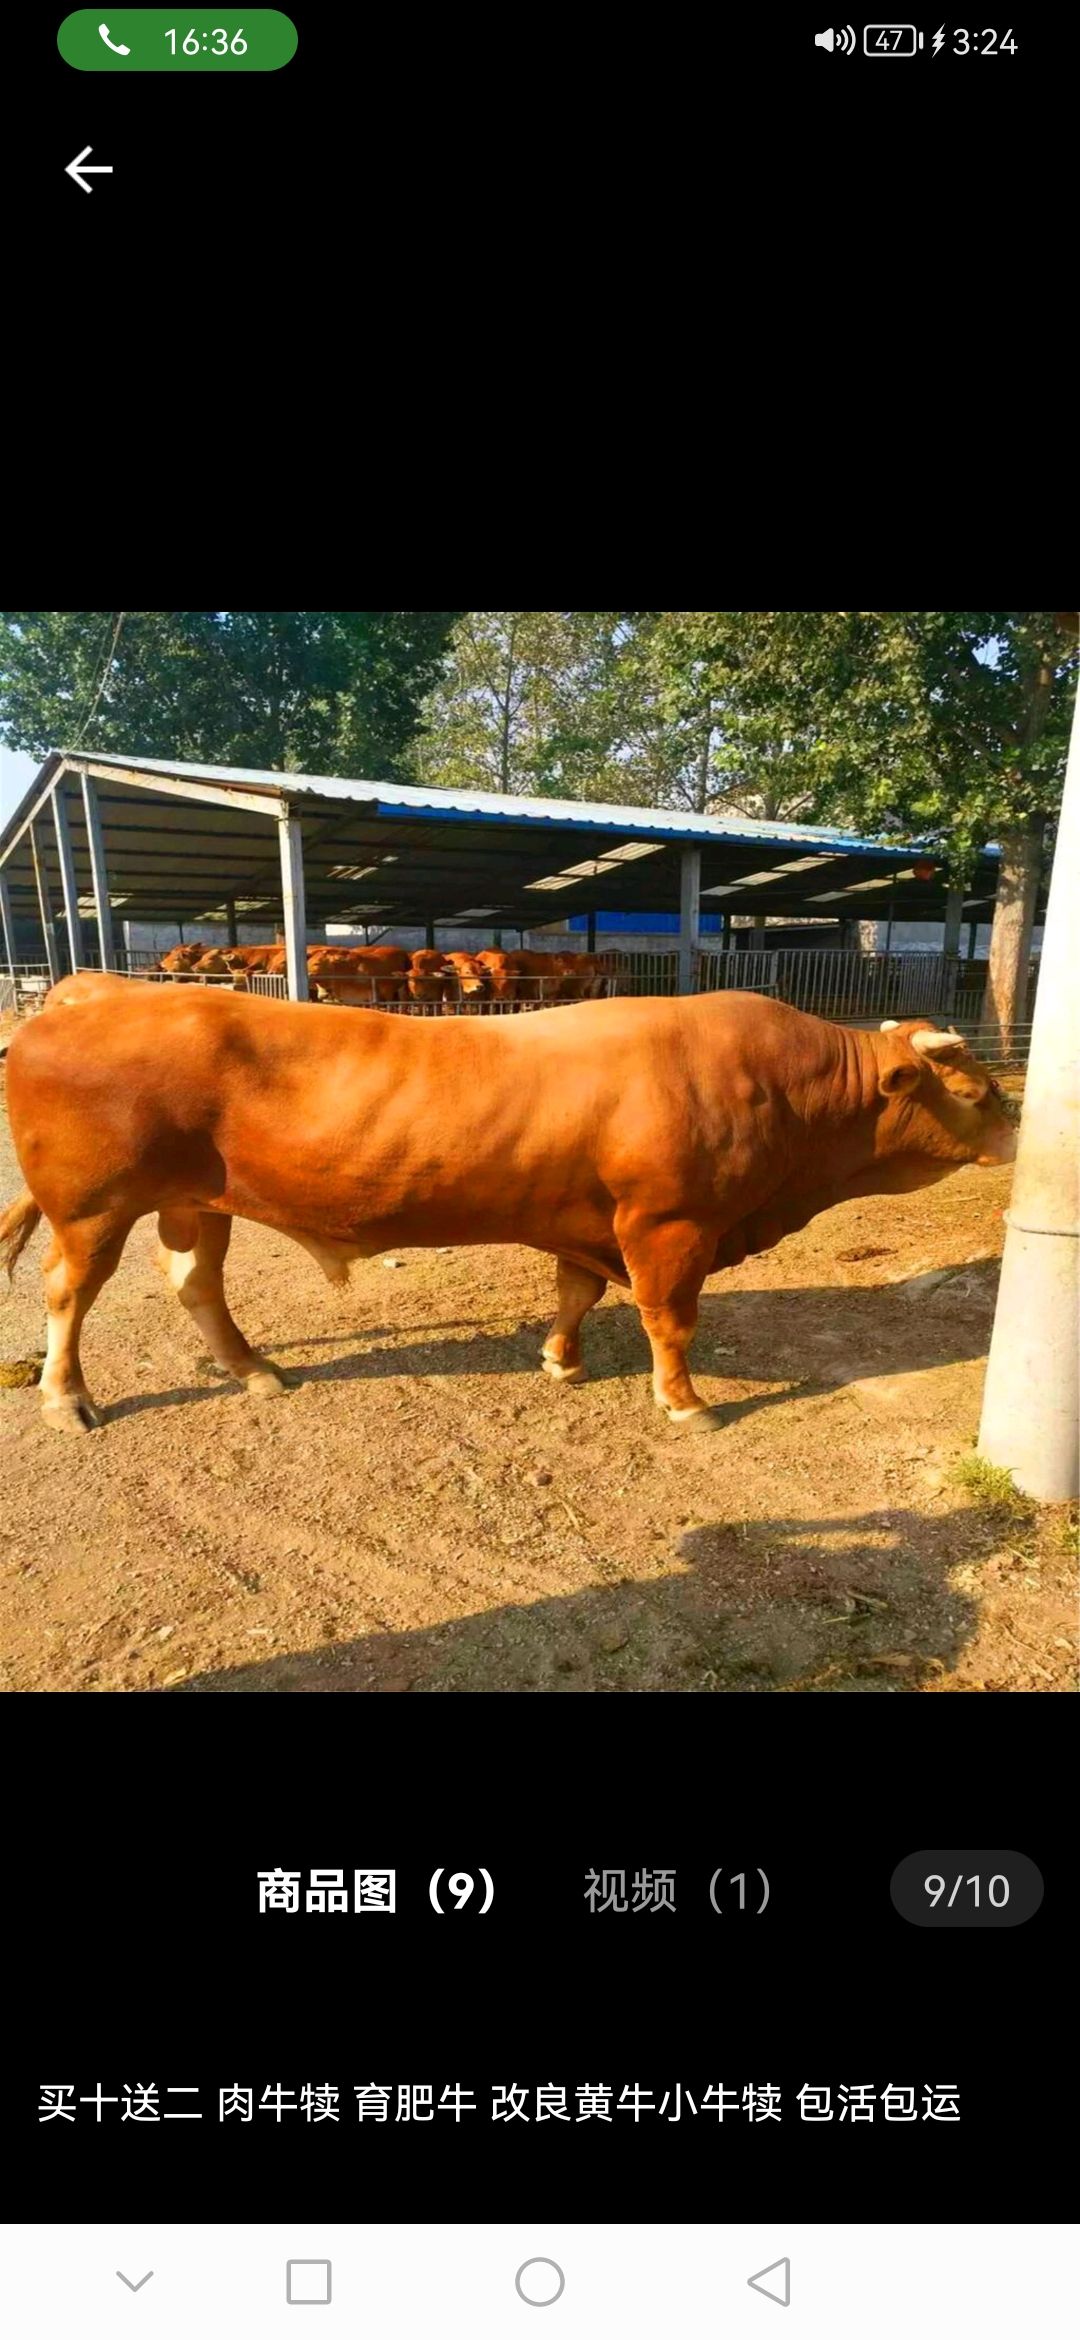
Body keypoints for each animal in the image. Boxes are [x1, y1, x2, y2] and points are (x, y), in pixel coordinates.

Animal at [0, 978, 1014, 1432]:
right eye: (969, 1088)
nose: (1018, 1127)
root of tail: (89, 991)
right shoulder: (669, 1225)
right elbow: (670, 1320)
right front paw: (684, 1403)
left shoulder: (590, 1221)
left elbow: (577, 1293)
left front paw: (561, 1361)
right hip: (91, 1207)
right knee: (68, 1292)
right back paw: (66, 1396)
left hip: (195, 1201)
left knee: (195, 1282)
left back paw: (255, 1371)